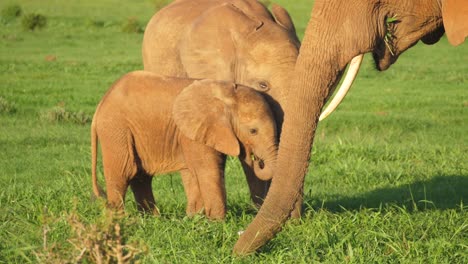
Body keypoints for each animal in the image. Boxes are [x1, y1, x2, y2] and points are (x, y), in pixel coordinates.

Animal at [90, 71, 278, 220]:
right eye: (253, 131)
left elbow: (197, 171)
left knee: (140, 177)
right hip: (115, 130)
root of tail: (101, 103)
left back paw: (152, 219)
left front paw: (194, 219)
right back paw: (118, 220)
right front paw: (217, 222)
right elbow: (208, 170)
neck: (227, 92)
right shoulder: (196, 131)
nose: (256, 159)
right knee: (123, 172)